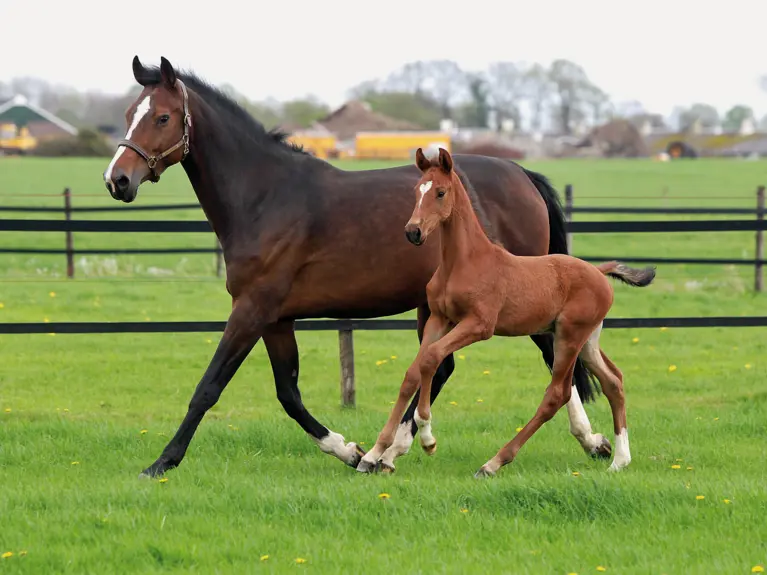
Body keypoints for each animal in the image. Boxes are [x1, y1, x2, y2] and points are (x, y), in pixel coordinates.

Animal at [356, 147, 656, 476]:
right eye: (416, 191)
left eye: (440, 192)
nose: (414, 231)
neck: (464, 261)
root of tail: (599, 272)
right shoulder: (439, 319)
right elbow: (414, 371)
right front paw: (375, 452)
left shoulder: (479, 325)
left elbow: (432, 359)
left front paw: (426, 438)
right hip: (587, 339)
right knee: (613, 381)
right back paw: (619, 460)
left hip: (569, 336)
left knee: (557, 394)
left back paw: (493, 463)